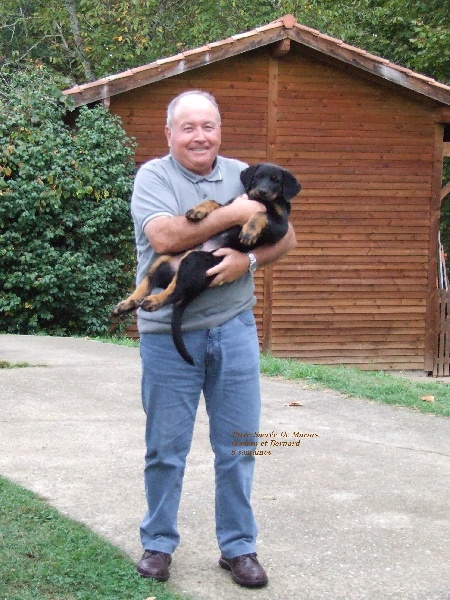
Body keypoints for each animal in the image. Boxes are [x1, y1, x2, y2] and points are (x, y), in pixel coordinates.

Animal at [112, 163, 301, 365]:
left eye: (276, 180)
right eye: (259, 177)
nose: (262, 191)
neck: (257, 198)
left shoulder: (280, 227)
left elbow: (259, 213)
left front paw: (249, 232)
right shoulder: (232, 205)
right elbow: (215, 203)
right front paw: (198, 210)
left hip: (195, 260)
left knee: (176, 291)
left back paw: (153, 301)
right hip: (163, 262)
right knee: (149, 285)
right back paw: (128, 303)